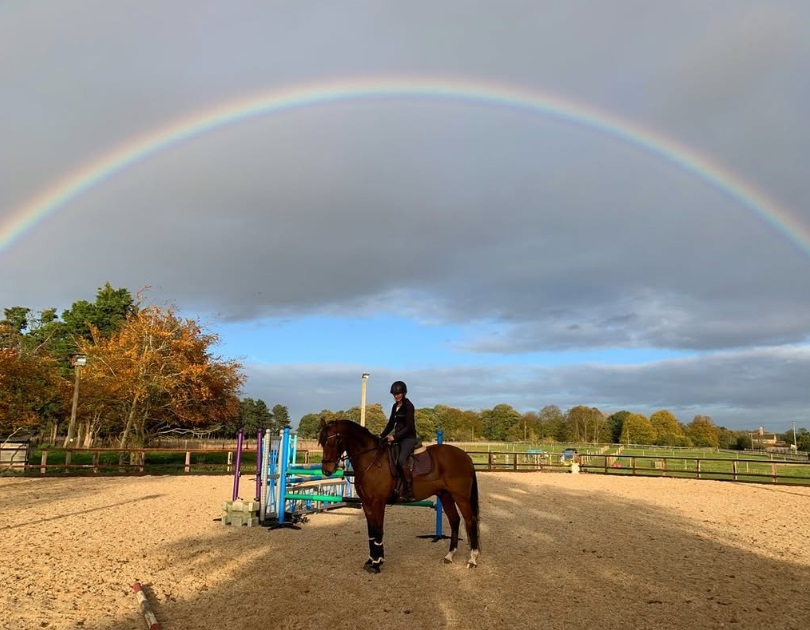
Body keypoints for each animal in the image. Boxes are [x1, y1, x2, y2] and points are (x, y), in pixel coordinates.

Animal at [318, 422, 480, 576]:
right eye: (322, 441)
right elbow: (371, 532)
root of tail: (465, 456)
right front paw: (371, 560)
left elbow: (378, 530)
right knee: (455, 520)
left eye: (335, 441)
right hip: (445, 495)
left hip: (461, 497)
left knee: (470, 521)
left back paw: (472, 559)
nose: (327, 470)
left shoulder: (378, 502)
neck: (371, 459)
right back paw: (449, 556)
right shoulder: (366, 503)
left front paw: (376, 563)